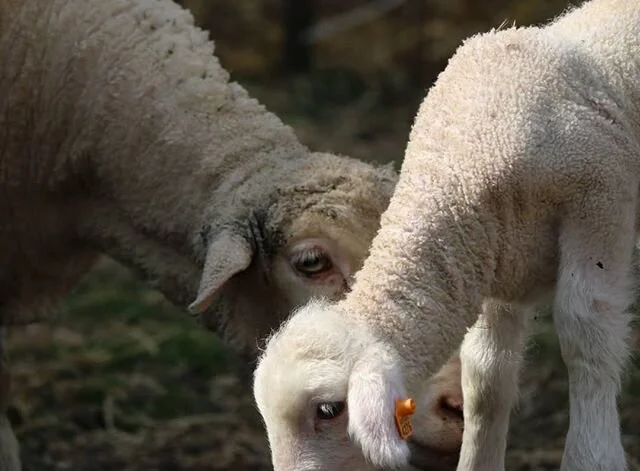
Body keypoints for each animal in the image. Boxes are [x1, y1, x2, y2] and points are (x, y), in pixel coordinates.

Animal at [253, 0, 640, 470]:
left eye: (328, 409)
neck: (460, 164)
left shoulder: (599, 205)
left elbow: (586, 337)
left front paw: (592, 457)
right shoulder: (496, 258)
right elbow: (486, 374)